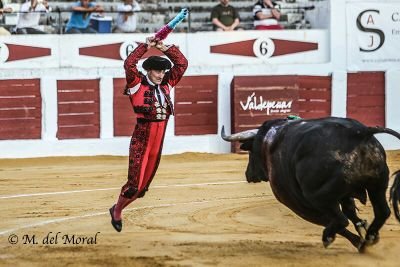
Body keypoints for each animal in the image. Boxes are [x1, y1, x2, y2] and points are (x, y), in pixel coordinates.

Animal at [222, 117, 400, 253]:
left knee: (341, 220)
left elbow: (331, 220)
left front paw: (357, 239)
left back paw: (336, 239)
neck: (269, 142)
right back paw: (370, 236)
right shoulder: (344, 196)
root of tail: (359, 133)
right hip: (378, 185)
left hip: (318, 197)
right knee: (382, 211)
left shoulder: (297, 203)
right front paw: (362, 227)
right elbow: (350, 211)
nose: (248, 174)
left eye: (251, 151)